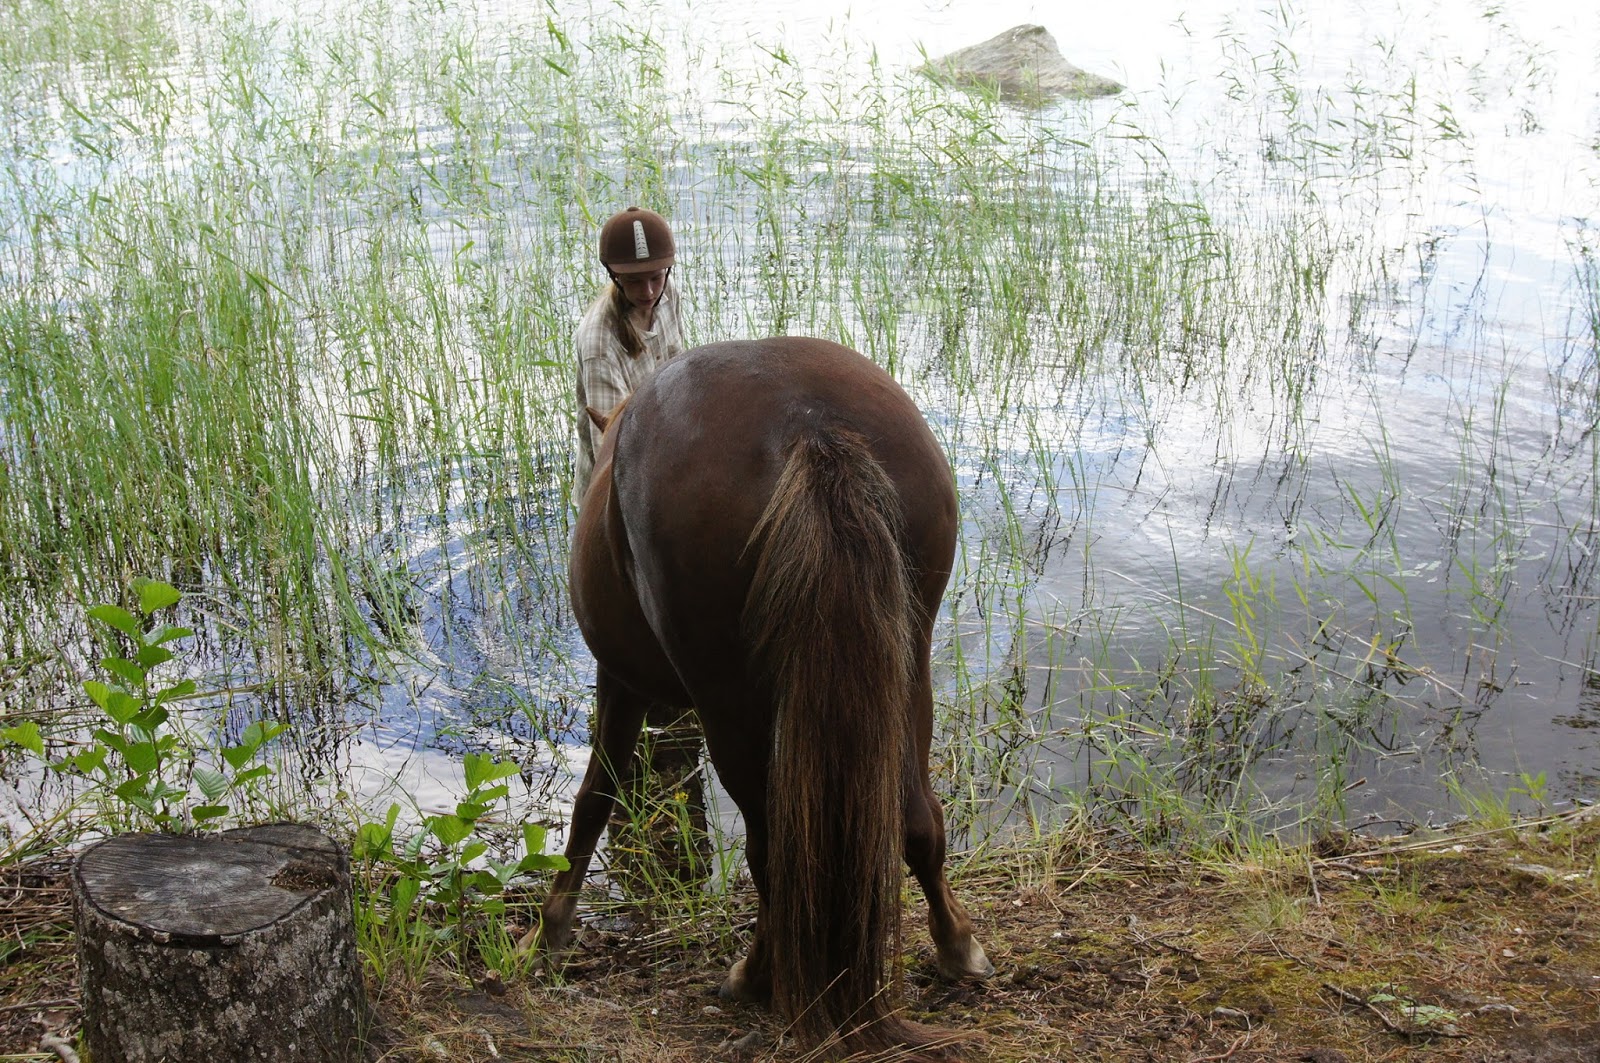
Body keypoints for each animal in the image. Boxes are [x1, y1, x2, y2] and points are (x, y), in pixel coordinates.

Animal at [527, 336, 993, 1059]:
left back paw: (757, 974)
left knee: (773, 844)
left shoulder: (620, 679)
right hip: (907, 663)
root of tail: (808, 425)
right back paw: (957, 946)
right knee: (919, 821)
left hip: (731, 704)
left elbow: (594, 797)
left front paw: (550, 925)